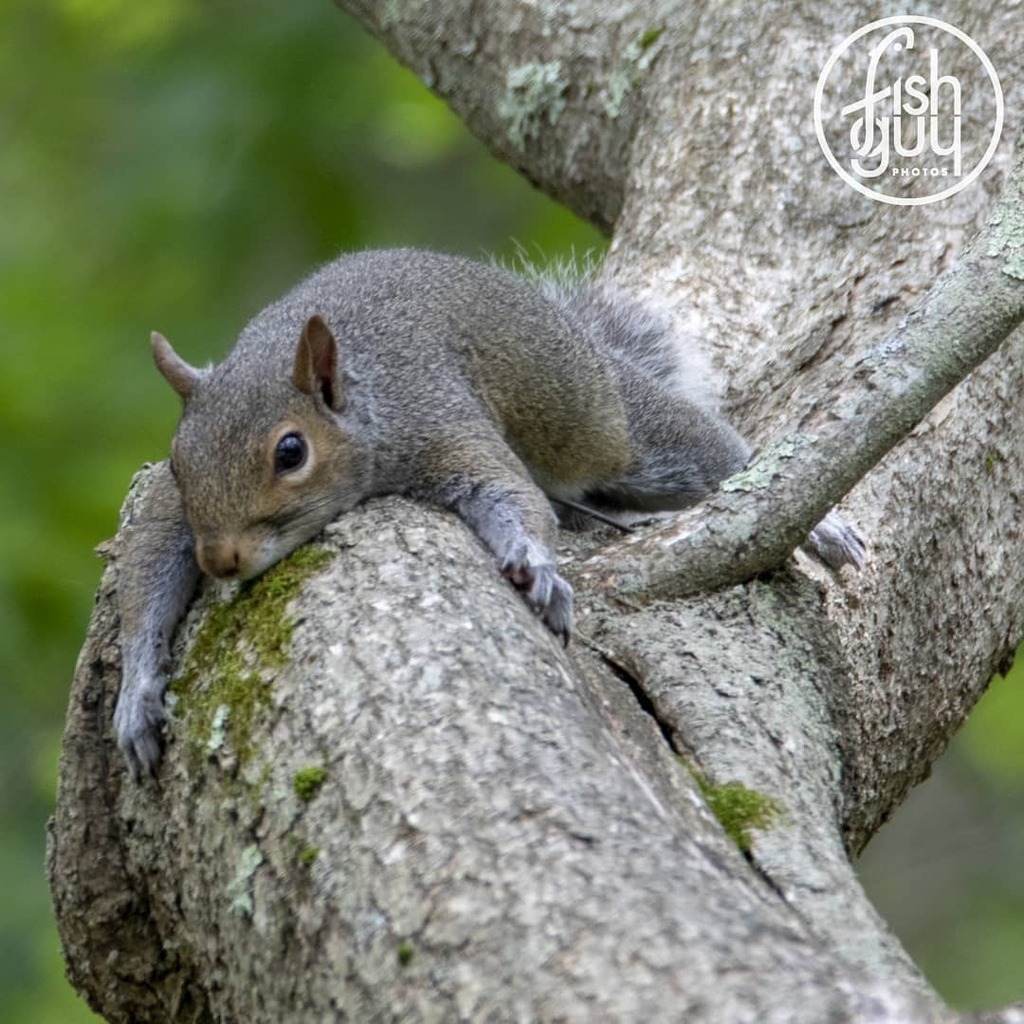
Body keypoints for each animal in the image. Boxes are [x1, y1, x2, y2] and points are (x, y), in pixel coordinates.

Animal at [113, 248, 865, 778]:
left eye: (291, 451)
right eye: (177, 461)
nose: (221, 560)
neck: (364, 397)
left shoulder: (440, 418)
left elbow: (509, 493)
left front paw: (533, 565)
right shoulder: (170, 514)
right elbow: (147, 571)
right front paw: (136, 694)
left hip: (598, 419)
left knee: (703, 449)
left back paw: (816, 520)